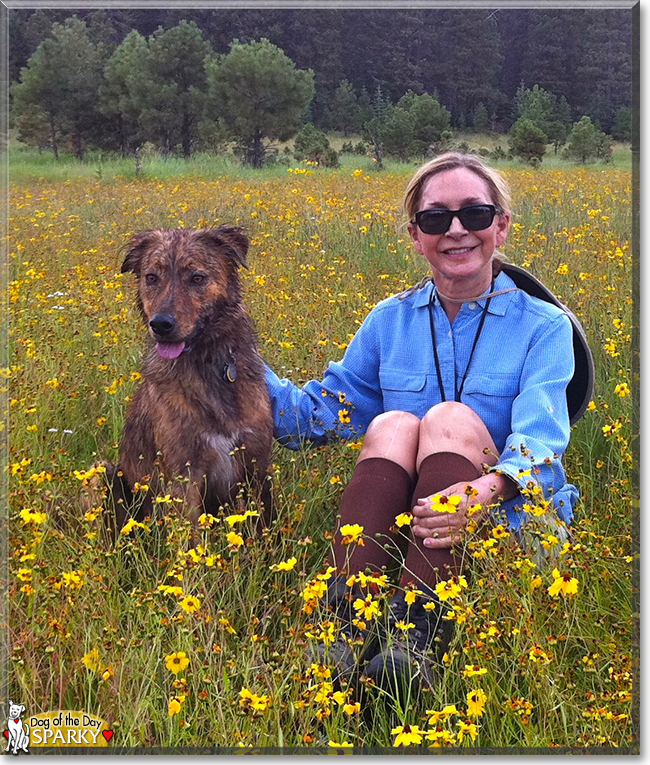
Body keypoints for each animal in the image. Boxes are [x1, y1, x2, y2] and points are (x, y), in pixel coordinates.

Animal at [93, 227, 270, 532]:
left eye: (197, 278)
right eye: (151, 278)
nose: (161, 324)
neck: (206, 363)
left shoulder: (256, 466)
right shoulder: (182, 477)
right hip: (101, 473)